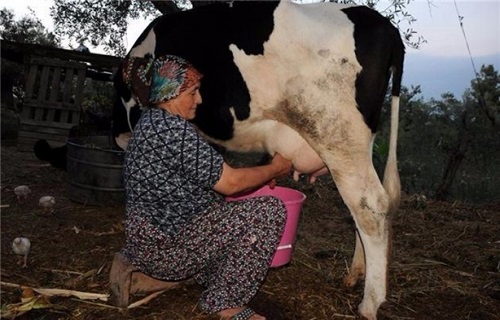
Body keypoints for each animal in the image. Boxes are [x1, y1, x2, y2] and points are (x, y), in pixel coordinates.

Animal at [111, 1, 404, 318]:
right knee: (360, 209)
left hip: (338, 137)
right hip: (357, 146)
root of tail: (377, 20)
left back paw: (370, 303)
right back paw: (354, 275)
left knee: (370, 207)